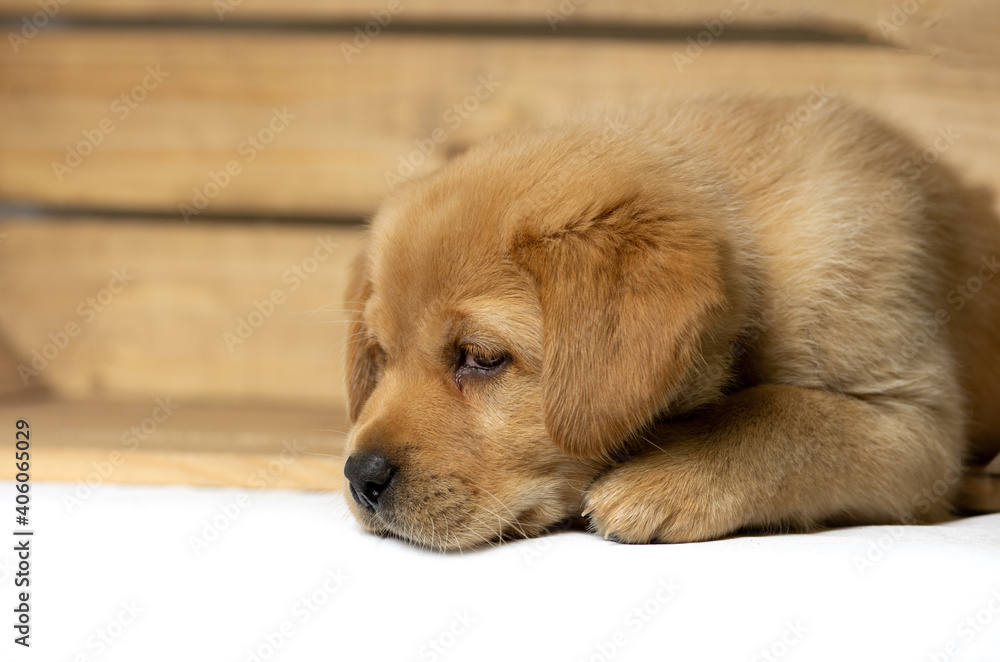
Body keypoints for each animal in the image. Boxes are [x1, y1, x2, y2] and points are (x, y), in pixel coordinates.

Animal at [342, 94, 1000, 548]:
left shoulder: (918, 424)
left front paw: (670, 477)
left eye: (481, 358)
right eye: (382, 357)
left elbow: (789, 414)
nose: (359, 476)